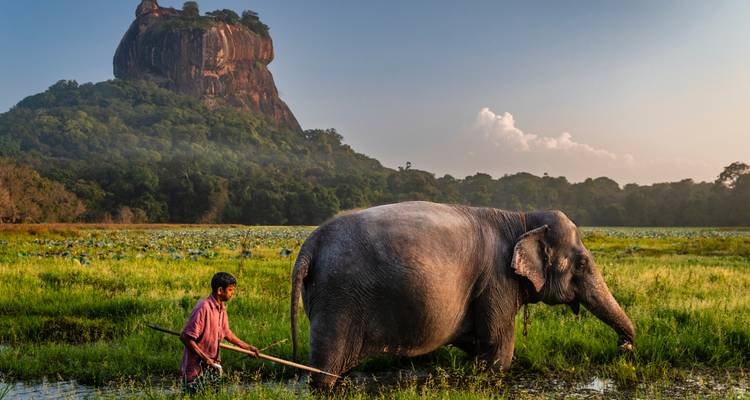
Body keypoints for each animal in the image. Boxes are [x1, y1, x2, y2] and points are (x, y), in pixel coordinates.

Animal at [290, 201, 635, 389]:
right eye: (582, 263)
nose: (625, 347)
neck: (522, 218)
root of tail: (309, 245)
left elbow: (478, 341)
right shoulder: (497, 280)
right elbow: (499, 346)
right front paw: (491, 376)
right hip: (339, 298)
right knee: (324, 369)